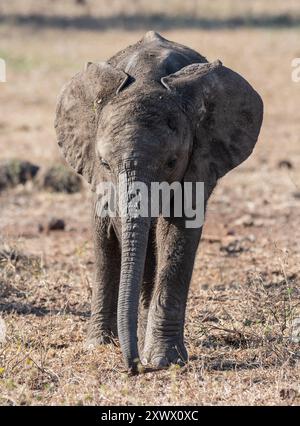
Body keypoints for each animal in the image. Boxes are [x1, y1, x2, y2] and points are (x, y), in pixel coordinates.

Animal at [54, 31, 262, 374]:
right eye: (105, 163)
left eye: (171, 162)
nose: (135, 367)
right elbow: (112, 231)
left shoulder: (199, 160)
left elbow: (177, 234)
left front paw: (165, 360)